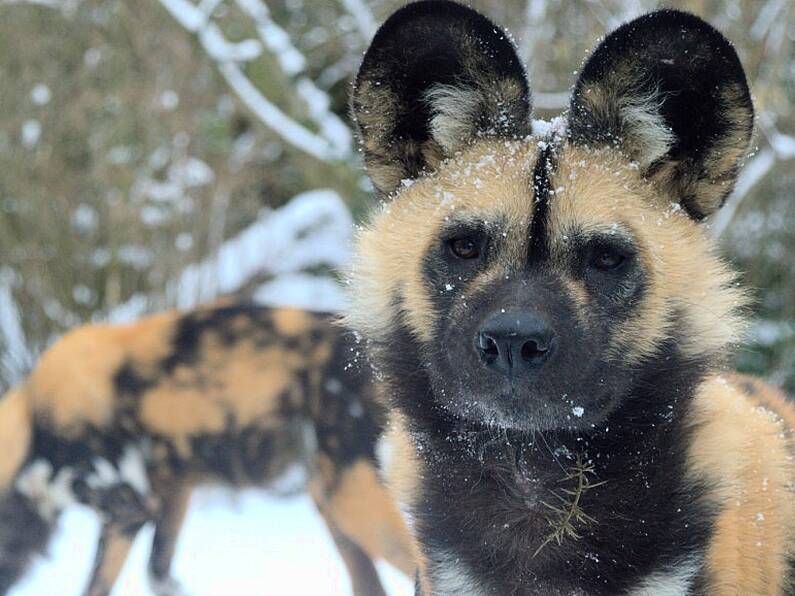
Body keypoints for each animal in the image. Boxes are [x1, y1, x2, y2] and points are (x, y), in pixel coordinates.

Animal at [1, 304, 416, 596]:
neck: (35, 417)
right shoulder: (171, 493)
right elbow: (159, 574)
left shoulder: (127, 508)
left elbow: (95, 586)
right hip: (330, 503)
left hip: (353, 502)